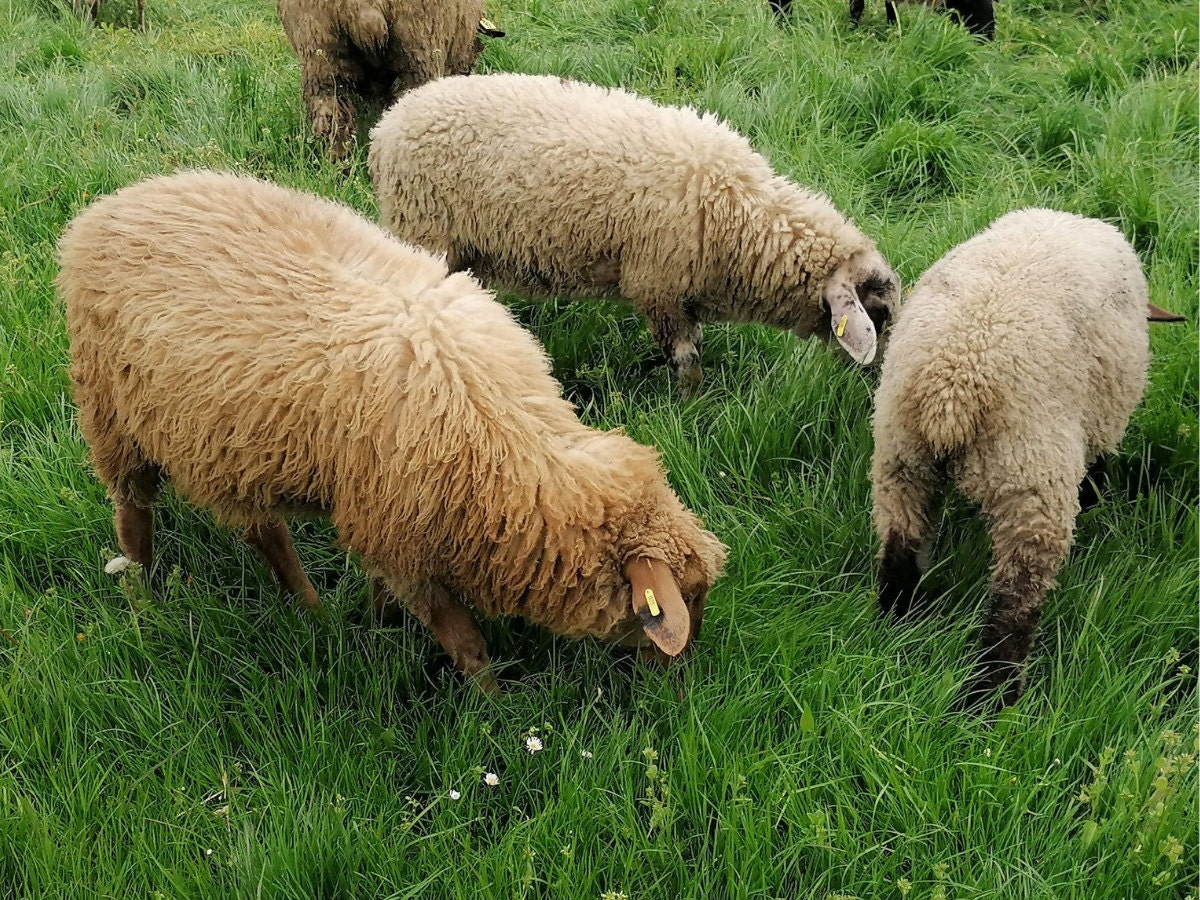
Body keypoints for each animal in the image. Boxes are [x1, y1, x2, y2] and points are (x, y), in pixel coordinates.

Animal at [60, 170, 724, 691]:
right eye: (684, 600)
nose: (681, 679)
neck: (512, 440)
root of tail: (110, 205)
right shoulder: (404, 535)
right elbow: (464, 641)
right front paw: (495, 711)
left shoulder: (385, 520)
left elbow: (385, 590)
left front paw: (379, 625)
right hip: (111, 410)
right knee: (133, 513)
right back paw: (146, 594)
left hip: (234, 444)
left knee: (264, 530)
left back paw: (312, 610)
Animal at [364, 75, 902, 400]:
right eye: (878, 313)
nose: (880, 388)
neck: (743, 213)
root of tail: (388, 125)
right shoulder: (659, 287)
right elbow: (686, 359)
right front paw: (692, 407)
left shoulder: (682, 294)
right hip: (422, 229)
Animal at [868, 207, 1185, 710]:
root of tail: (952, 390)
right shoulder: (1101, 425)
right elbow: (1096, 469)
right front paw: (1095, 499)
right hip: (1031, 480)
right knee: (1013, 607)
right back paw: (992, 702)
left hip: (901, 461)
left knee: (900, 554)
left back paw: (897, 628)